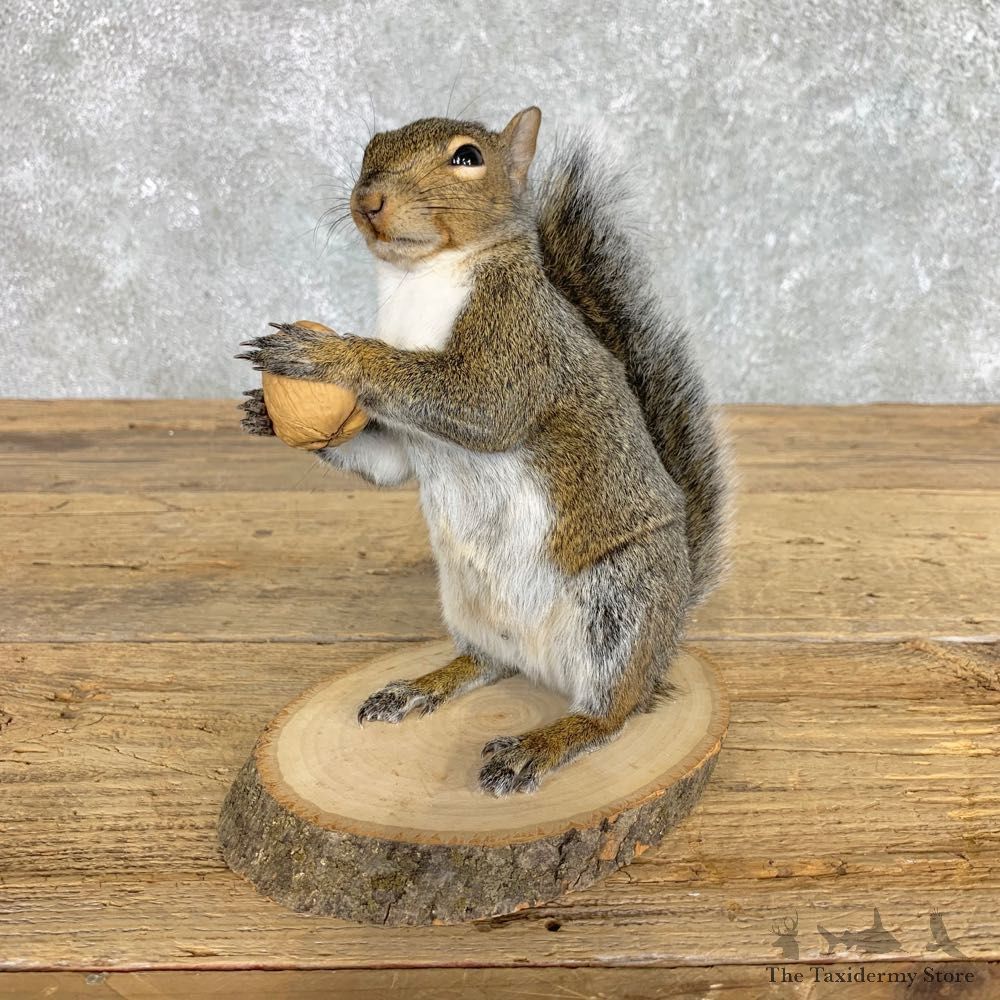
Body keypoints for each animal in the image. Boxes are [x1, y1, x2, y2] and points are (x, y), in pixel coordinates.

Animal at [238, 106, 730, 796]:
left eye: (467, 157)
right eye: (369, 151)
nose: (368, 200)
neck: (420, 279)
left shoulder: (517, 347)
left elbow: (482, 405)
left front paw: (328, 354)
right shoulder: (409, 439)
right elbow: (389, 464)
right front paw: (266, 412)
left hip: (621, 602)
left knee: (612, 712)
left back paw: (541, 744)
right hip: (467, 602)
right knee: (488, 662)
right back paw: (421, 686)